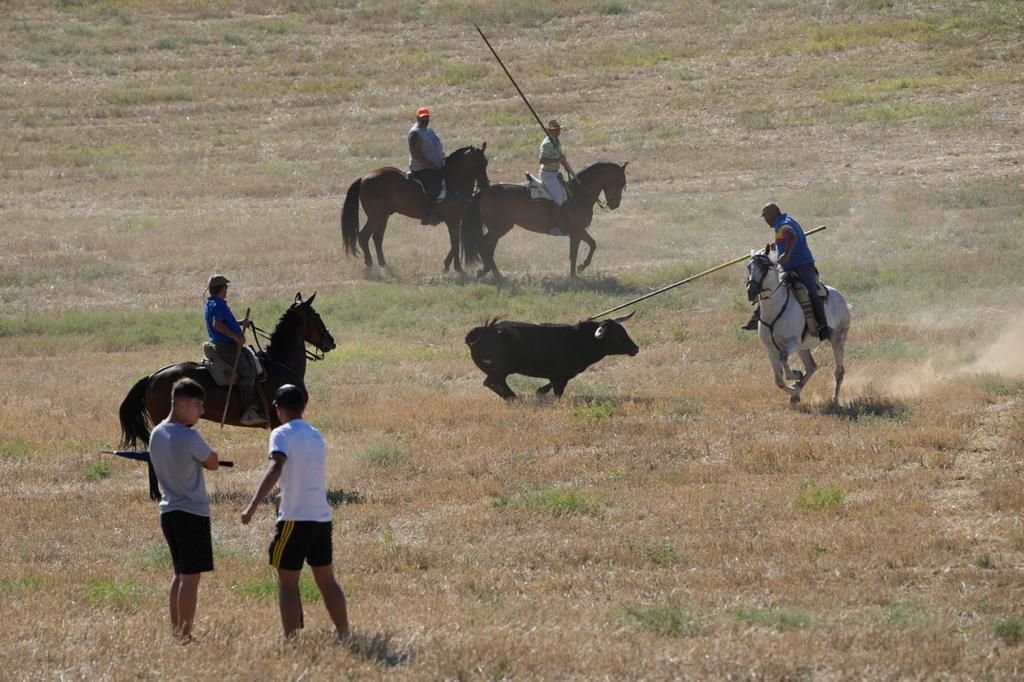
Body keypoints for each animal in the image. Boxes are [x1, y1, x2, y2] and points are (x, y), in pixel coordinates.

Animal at [118, 288, 335, 497]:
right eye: (315, 315)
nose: (330, 342)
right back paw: (157, 493)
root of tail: (152, 377)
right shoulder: (279, 420)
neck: (280, 364)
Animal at [342, 143, 489, 270]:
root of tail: (363, 178)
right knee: (363, 236)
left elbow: (455, 243)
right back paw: (370, 264)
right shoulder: (452, 219)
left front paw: (447, 265)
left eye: (486, 163)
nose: (485, 185)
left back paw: (383, 264)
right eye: (477, 165)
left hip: (383, 217)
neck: (453, 181)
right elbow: (455, 242)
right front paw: (457, 268)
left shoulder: (455, 220)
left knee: (377, 238)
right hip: (376, 216)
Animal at [462, 160, 626, 278]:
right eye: (620, 182)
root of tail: (484, 192)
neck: (578, 194)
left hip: (496, 229)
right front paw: (573, 276)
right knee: (483, 244)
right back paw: (493, 273)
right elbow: (573, 254)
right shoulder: (575, 233)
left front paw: (581, 267)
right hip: (500, 228)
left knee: (488, 248)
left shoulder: (580, 231)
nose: (615, 204)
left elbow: (593, 244)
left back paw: (491, 272)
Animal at [466, 311, 638, 401]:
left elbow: (549, 386)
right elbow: (558, 391)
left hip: (500, 371)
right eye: (615, 336)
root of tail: (482, 332)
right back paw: (513, 397)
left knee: (495, 383)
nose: (635, 348)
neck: (578, 339)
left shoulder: (560, 375)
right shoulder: (560, 376)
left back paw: (513, 397)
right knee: (491, 382)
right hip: (498, 370)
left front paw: (540, 392)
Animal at [745, 248, 847, 399]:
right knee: (811, 366)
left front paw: (795, 375)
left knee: (839, 371)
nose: (750, 291)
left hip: (837, 339)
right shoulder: (771, 349)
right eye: (749, 267)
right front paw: (795, 387)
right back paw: (796, 393)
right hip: (803, 347)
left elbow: (784, 359)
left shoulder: (792, 343)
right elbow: (779, 381)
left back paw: (834, 399)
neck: (775, 308)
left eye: (763, 267)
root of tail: (841, 297)